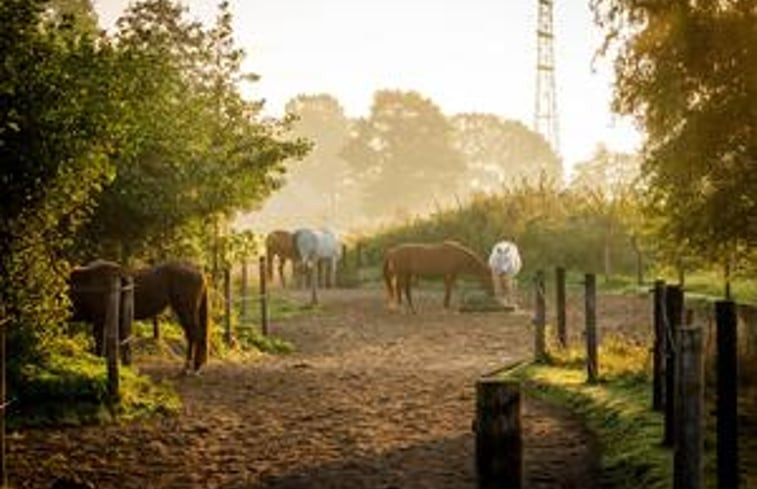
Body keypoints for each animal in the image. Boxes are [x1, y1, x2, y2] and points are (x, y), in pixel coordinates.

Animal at [68, 262, 210, 372]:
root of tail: (197, 270)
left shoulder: (99, 320)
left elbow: (99, 343)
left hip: (186, 310)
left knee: (195, 335)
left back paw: (190, 367)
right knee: (192, 335)